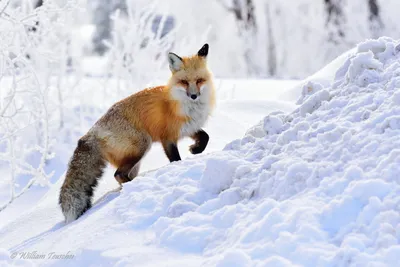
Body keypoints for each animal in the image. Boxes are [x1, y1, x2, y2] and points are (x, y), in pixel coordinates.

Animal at [58, 44, 216, 224]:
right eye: (184, 82)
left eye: (199, 80)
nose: (194, 95)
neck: (183, 105)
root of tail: (91, 133)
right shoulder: (167, 137)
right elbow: (176, 159)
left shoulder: (189, 127)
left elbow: (205, 137)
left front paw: (195, 149)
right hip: (141, 146)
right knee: (118, 174)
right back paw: (134, 184)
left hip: (135, 160)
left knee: (121, 175)